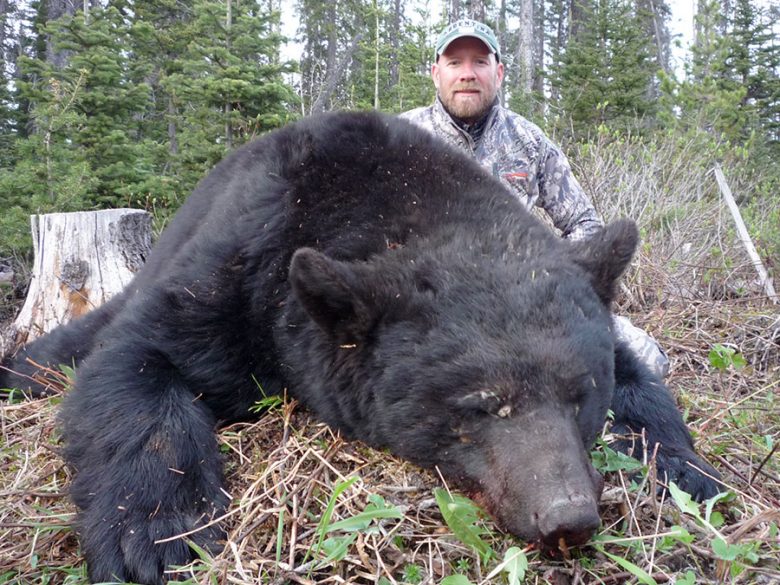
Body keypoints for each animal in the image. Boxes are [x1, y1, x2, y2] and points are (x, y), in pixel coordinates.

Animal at [0, 111, 720, 584]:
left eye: (580, 396)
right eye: (479, 405)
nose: (566, 514)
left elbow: (641, 381)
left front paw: (686, 472)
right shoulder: (237, 268)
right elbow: (134, 362)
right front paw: (154, 533)